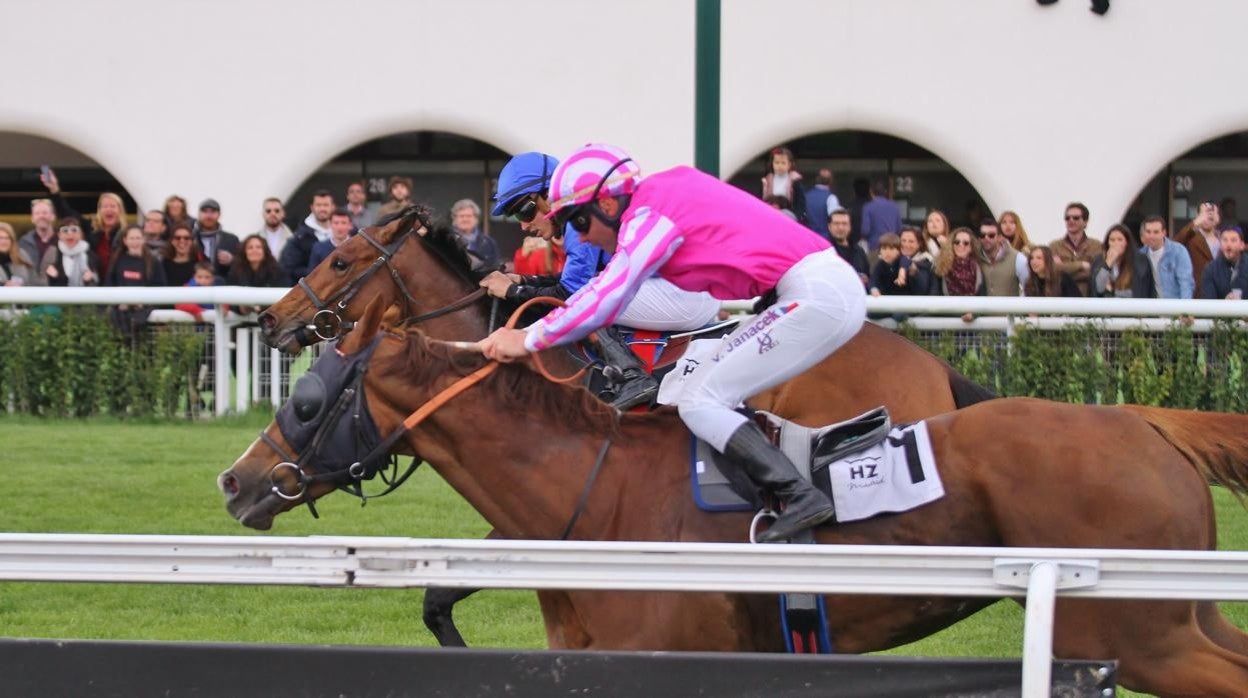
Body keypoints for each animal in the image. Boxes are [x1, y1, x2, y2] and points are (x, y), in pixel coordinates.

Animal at [219, 314, 1248, 694]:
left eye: (306, 402)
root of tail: (1147, 422)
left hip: (1136, 635)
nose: (234, 480)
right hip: (1180, 616)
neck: (596, 495)